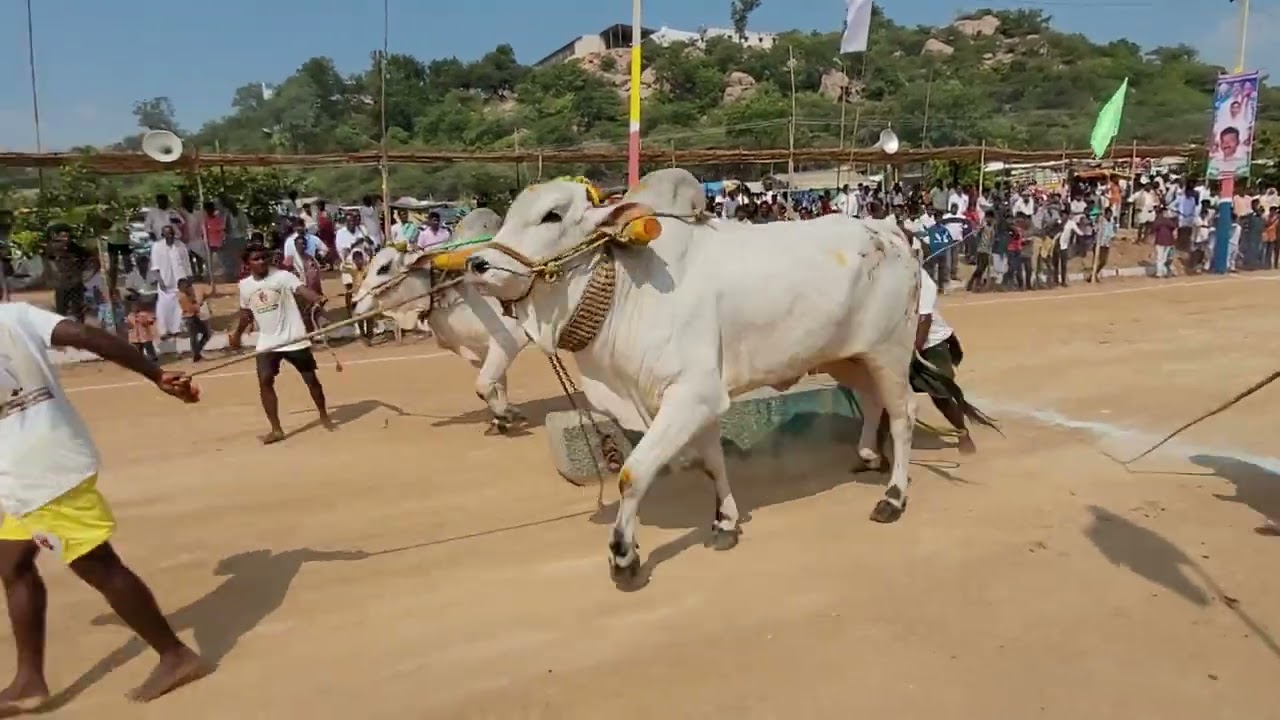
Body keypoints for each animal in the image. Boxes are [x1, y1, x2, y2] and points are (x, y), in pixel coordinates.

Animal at [352, 208, 530, 433]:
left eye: (383, 268)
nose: (355, 304)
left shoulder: (509, 339)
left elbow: (482, 385)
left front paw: (503, 413)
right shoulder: (481, 349)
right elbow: (497, 383)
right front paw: (504, 416)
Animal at [456, 174, 963, 582]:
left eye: (552, 215)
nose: (477, 265)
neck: (629, 289)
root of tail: (890, 231)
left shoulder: (692, 394)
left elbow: (633, 473)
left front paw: (624, 556)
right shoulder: (695, 400)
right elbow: (712, 463)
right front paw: (724, 522)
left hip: (889, 349)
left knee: (904, 412)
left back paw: (893, 496)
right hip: (846, 354)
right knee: (872, 399)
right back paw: (868, 457)